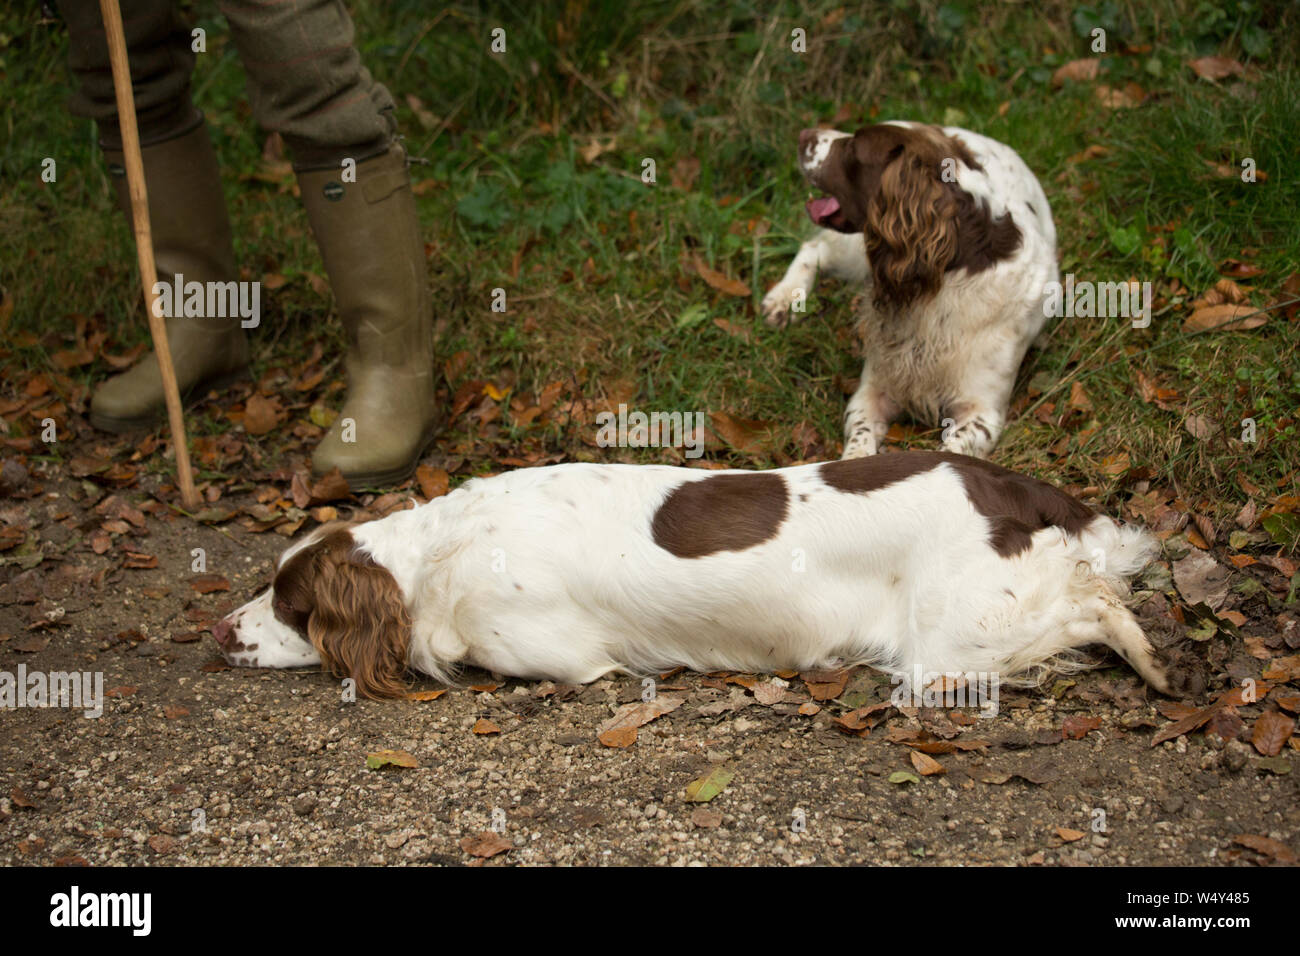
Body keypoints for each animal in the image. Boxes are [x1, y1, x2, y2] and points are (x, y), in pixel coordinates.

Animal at [759, 123, 1055, 460]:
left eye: (854, 147)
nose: (805, 134)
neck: (943, 279)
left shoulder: (982, 410)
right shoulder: (873, 388)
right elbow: (860, 435)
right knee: (814, 248)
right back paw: (784, 300)